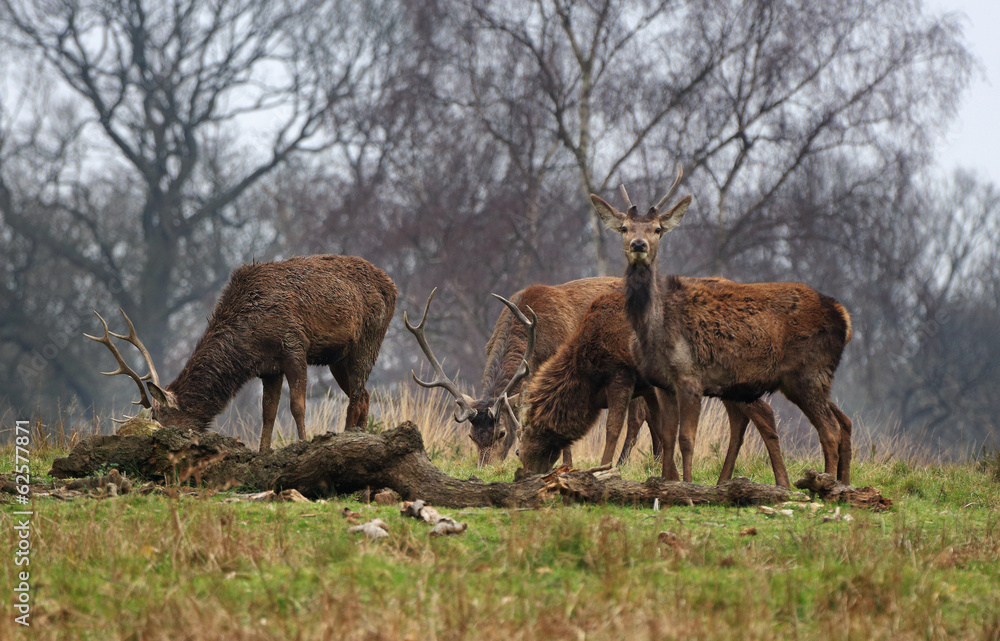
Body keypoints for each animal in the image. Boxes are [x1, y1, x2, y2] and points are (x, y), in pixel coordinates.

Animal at [86, 255, 397, 451]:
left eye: (162, 422)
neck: (249, 340)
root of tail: (393, 286)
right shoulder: (268, 368)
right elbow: (268, 414)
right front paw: (263, 452)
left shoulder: (294, 346)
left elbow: (297, 406)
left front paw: (302, 444)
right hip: (337, 359)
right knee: (365, 395)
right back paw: (359, 435)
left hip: (368, 339)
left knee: (357, 396)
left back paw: (350, 437)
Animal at [404, 280, 659, 467]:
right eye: (471, 437)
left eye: (502, 433)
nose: (485, 469)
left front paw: (565, 465)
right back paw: (655, 459)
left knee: (638, 417)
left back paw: (623, 463)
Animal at [513, 288, 791, 487]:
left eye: (527, 431)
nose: (523, 472)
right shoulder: (649, 387)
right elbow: (659, 426)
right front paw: (672, 476)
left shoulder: (621, 373)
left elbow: (613, 427)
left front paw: (603, 470)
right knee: (740, 419)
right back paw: (724, 480)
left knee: (764, 413)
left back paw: (782, 481)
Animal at [589, 166, 854, 483]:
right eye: (625, 228)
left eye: (657, 229)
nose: (638, 245)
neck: (653, 330)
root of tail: (844, 317)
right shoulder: (663, 383)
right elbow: (667, 436)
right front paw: (667, 482)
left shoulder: (690, 376)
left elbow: (686, 439)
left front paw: (688, 484)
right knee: (838, 424)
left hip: (809, 373)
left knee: (830, 430)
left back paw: (825, 484)